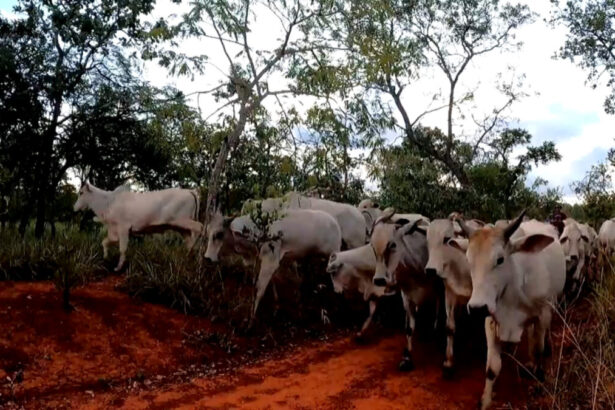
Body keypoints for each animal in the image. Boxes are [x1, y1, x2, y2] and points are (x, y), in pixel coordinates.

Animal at [73, 181, 201, 270]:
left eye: (81, 193)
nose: (74, 208)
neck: (109, 202)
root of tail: (189, 191)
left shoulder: (123, 228)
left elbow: (122, 248)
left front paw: (118, 267)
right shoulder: (113, 230)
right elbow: (105, 242)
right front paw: (105, 257)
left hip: (182, 221)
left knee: (200, 227)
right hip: (181, 227)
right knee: (189, 242)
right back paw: (189, 258)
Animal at [368, 208, 436, 372]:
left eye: (392, 244)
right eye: (372, 246)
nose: (379, 280)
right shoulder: (407, 298)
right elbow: (409, 328)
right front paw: (406, 358)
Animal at [454, 213, 564, 408]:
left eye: (500, 259)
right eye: (468, 260)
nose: (476, 309)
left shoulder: (542, 313)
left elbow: (539, 350)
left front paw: (539, 379)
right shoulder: (490, 320)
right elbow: (492, 367)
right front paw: (485, 401)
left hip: (552, 304)